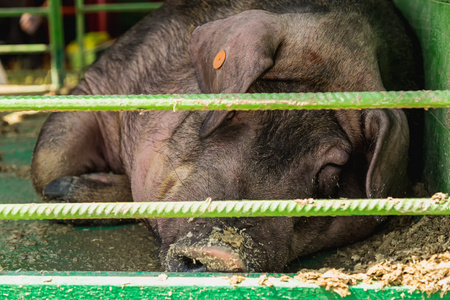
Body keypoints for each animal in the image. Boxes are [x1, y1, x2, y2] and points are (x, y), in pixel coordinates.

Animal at [30, 0, 422, 272]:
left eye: (332, 172)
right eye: (234, 113)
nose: (220, 252)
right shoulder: (102, 82)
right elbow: (46, 164)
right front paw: (60, 190)